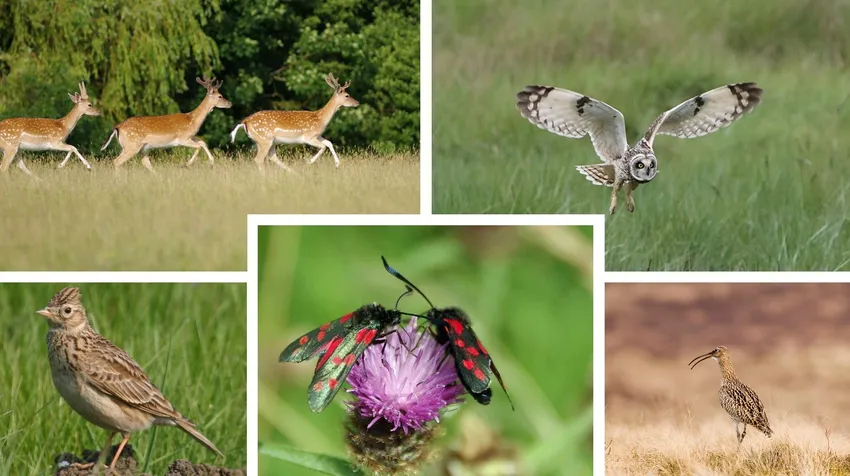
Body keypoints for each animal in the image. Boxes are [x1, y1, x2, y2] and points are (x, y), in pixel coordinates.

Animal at [101, 75, 231, 172]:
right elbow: (199, 146)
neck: (192, 120)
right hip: (132, 145)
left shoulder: (190, 136)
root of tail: (117, 127)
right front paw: (186, 164)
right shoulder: (183, 138)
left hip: (139, 148)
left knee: (145, 163)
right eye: (220, 96)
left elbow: (203, 142)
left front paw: (212, 163)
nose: (230, 103)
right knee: (117, 161)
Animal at [229, 73, 359, 169]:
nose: (357, 103)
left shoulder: (317, 135)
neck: (321, 118)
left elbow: (329, 143)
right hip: (264, 139)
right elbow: (323, 146)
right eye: (347, 95)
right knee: (259, 159)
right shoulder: (308, 136)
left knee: (272, 157)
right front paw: (309, 161)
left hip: (264, 141)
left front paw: (337, 164)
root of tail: (245, 122)